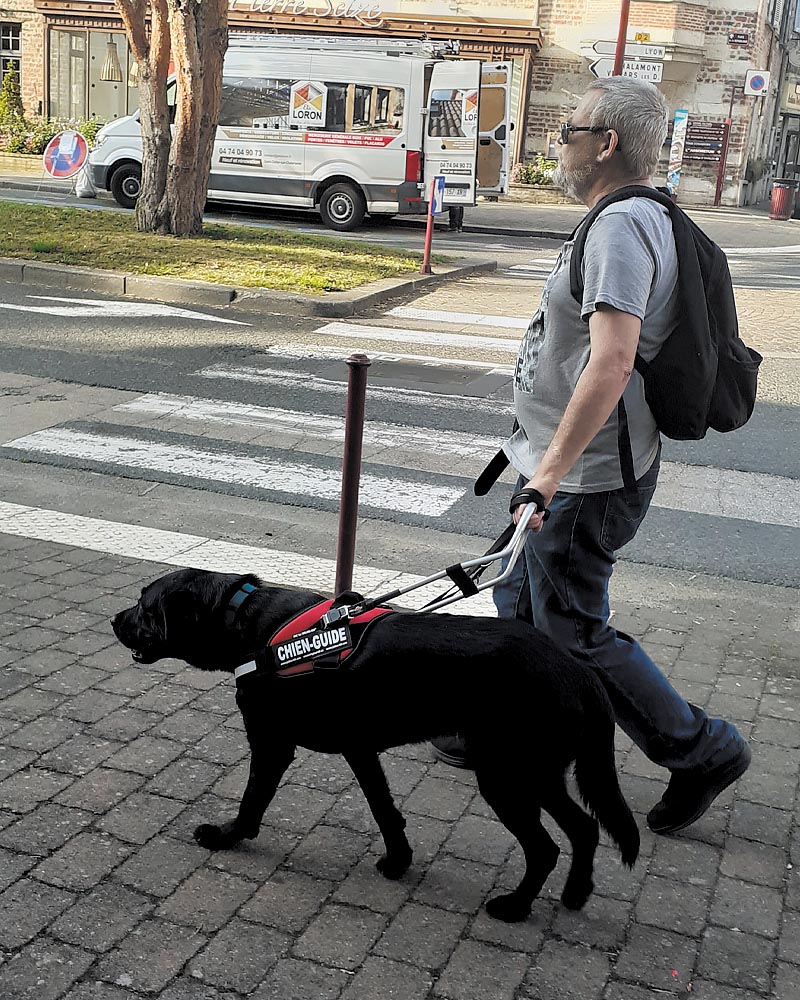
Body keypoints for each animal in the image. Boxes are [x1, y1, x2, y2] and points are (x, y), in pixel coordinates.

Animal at [114, 572, 636, 920]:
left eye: (143, 606)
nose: (115, 618)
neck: (246, 622)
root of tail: (581, 672)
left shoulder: (272, 743)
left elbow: (252, 799)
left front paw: (227, 836)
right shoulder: (359, 748)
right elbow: (385, 809)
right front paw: (399, 861)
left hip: (506, 775)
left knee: (546, 847)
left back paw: (516, 907)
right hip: (537, 773)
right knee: (586, 828)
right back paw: (575, 894)